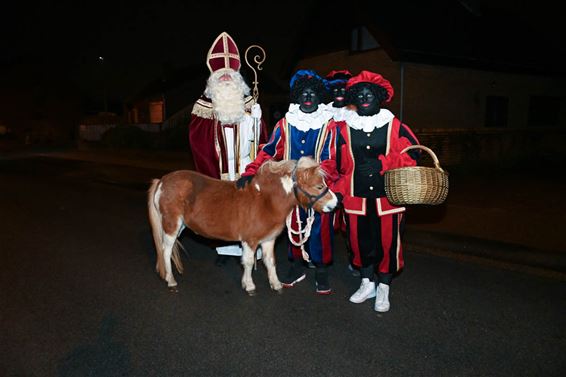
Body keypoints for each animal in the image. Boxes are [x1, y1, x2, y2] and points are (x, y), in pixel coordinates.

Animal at [149, 156, 340, 294]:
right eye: (319, 186)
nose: (336, 203)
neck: (266, 200)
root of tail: (162, 181)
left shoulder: (268, 240)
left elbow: (270, 261)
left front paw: (276, 284)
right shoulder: (250, 240)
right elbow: (248, 262)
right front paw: (249, 285)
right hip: (171, 226)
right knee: (166, 251)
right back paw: (171, 280)